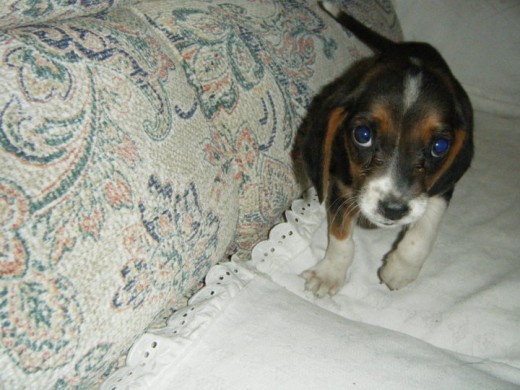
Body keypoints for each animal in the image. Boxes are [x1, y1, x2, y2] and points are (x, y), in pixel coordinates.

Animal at [300, 1, 476, 296]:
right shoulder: (340, 185)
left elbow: (425, 228)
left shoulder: (441, 187)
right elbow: (341, 238)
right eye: (363, 135)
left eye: (439, 146)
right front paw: (330, 273)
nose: (393, 210)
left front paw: (400, 269)